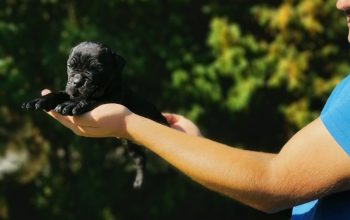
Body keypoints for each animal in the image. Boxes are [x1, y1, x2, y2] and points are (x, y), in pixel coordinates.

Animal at [22, 41, 169, 189]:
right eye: (70, 65)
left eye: (96, 69)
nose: (77, 81)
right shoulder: (69, 92)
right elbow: (58, 93)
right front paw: (40, 100)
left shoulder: (108, 99)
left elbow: (91, 99)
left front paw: (71, 104)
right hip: (131, 144)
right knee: (140, 158)